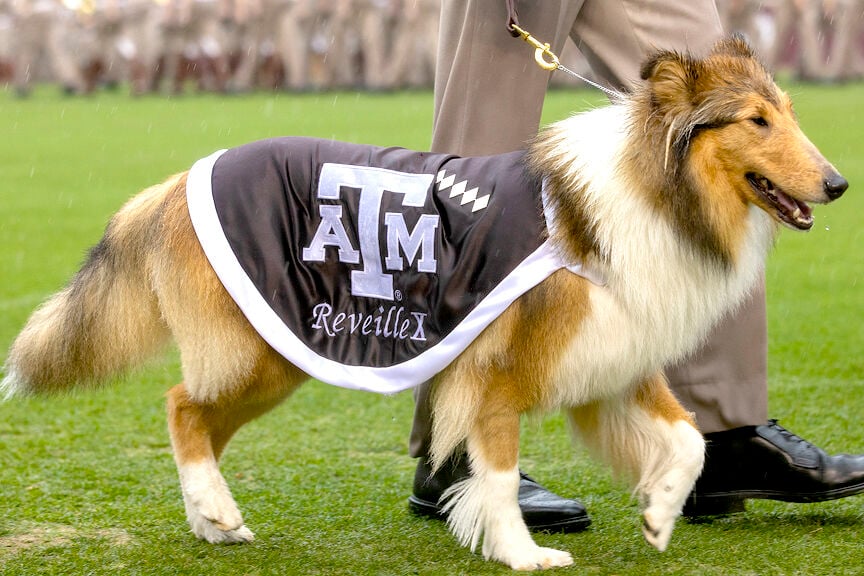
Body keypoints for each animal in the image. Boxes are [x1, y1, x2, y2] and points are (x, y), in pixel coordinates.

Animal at [0, 38, 848, 568]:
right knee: (181, 406)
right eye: (756, 121)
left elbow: (689, 439)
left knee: (199, 420)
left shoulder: (616, 351)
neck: (645, 193)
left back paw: (211, 522)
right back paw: (215, 509)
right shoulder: (497, 374)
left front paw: (661, 512)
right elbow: (499, 476)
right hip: (260, 350)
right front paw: (523, 554)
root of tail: (175, 182)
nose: (838, 183)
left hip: (271, 357)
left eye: (792, 115)